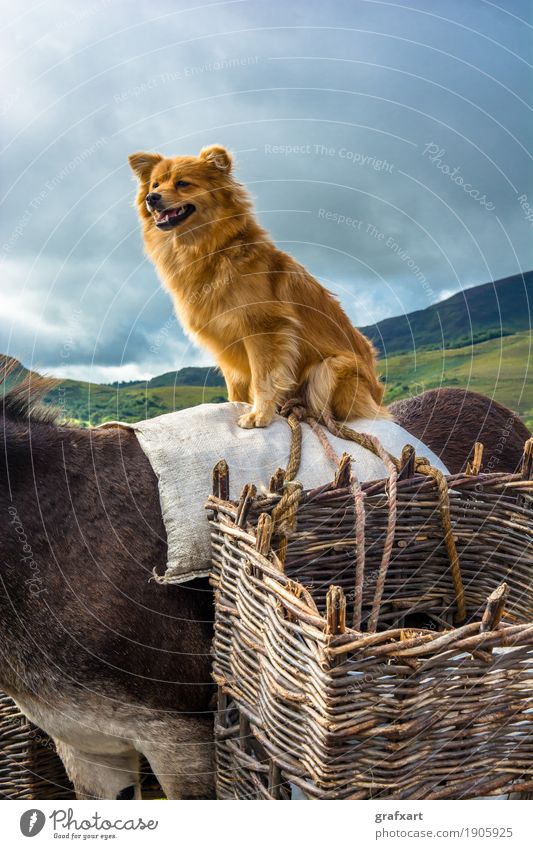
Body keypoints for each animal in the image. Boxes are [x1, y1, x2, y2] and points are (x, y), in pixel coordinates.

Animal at [129, 144, 386, 430]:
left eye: (182, 183)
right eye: (155, 183)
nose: (151, 197)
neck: (211, 250)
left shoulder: (263, 329)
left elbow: (264, 377)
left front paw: (259, 415)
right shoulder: (226, 341)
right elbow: (237, 386)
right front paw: (237, 405)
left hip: (328, 368)